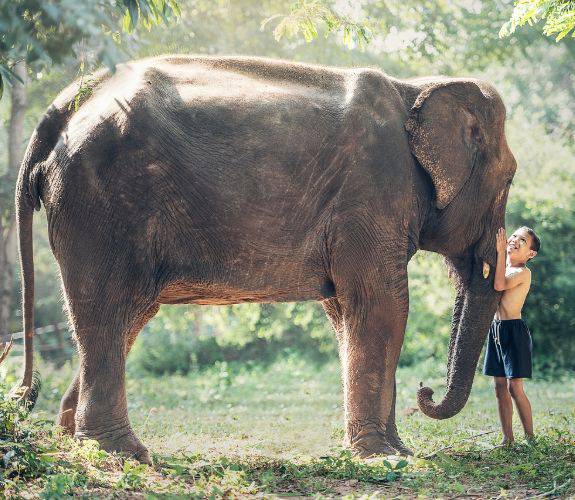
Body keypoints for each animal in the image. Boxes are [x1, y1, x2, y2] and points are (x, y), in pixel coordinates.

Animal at [3, 55, 516, 464]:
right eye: (510, 178)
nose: (426, 392)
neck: (415, 87)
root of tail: (68, 102)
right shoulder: (371, 193)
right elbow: (382, 307)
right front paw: (386, 456)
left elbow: (345, 313)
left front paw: (391, 450)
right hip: (101, 203)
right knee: (109, 310)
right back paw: (122, 453)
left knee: (126, 317)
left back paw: (73, 441)